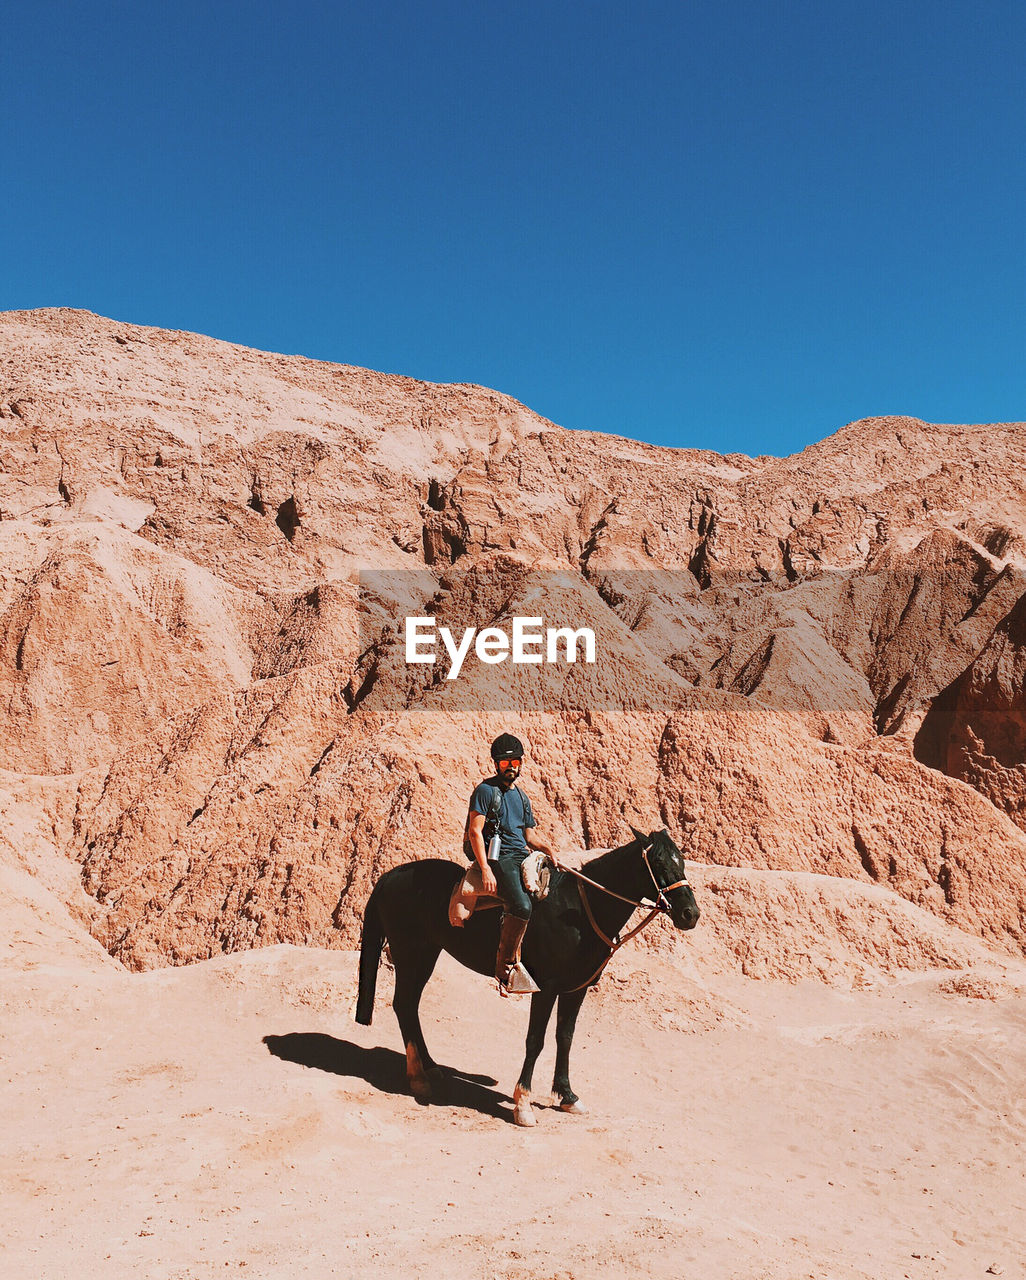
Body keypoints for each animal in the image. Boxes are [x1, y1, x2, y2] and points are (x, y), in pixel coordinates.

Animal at [353, 824, 695, 1126]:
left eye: (681, 860)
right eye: (659, 862)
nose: (690, 914)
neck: (579, 912)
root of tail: (389, 876)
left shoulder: (576, 989)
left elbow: (565, 1037)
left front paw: (568, 1096)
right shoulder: (546, 988)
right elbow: (536, 1041)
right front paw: (523, 1104)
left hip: (427, 953)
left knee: (410, 1006)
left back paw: (430, 1067)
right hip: (410, 953)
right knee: (403, 1004)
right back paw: (418, 1078)